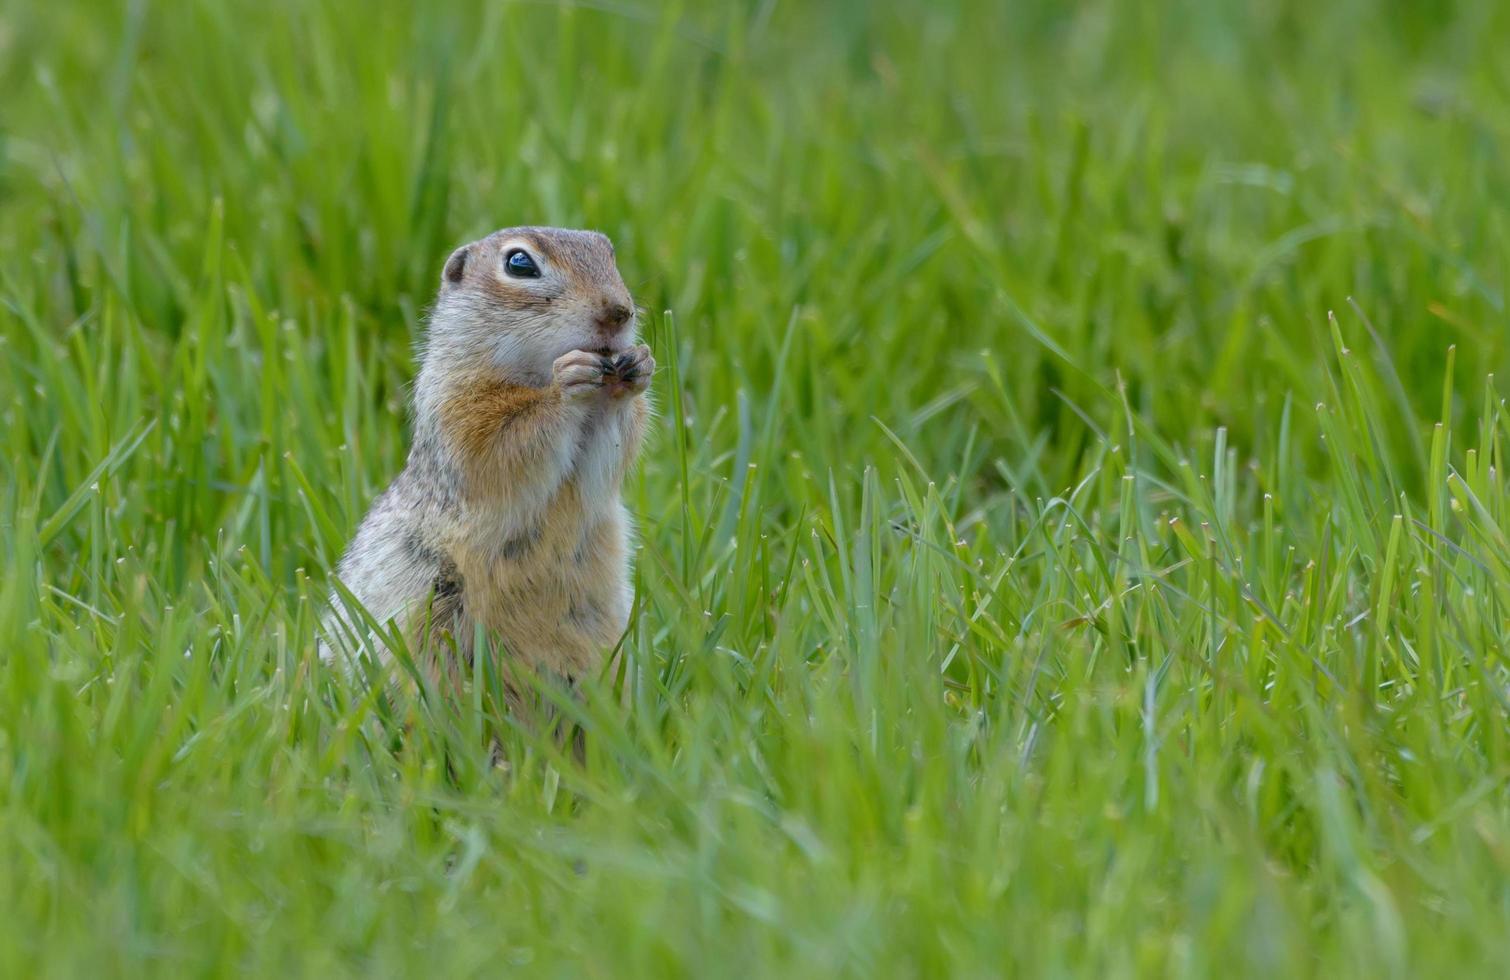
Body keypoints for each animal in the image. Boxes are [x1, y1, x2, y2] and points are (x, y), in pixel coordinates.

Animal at [324, 228, 655, 688]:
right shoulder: (460, 414)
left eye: (608, 253)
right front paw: (567, 382)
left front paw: (639, 366)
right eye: (519, 263)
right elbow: (503, 445)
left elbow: (605, 459)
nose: (619, 312)